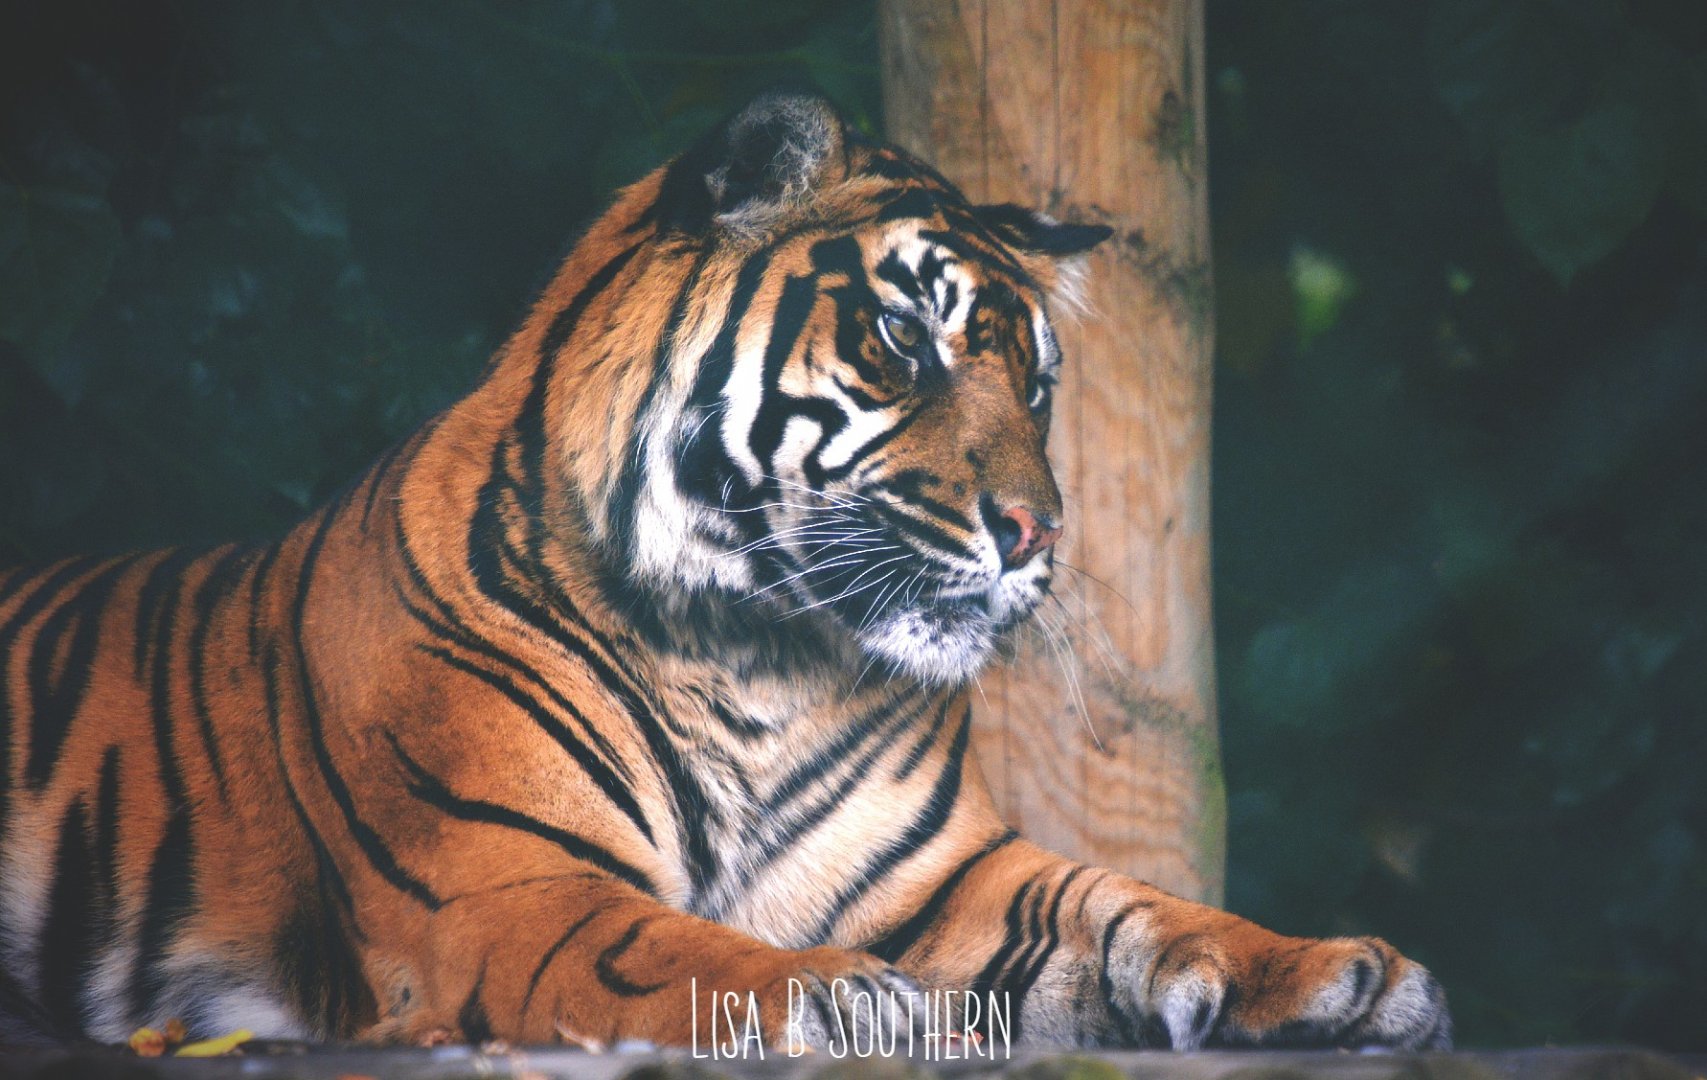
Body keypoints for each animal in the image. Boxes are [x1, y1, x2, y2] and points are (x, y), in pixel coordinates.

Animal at [0, 92, 1450, 1052]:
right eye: (904, 339)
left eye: (1034, 385)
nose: (1037, 535)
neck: (764, 656)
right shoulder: (497, 885)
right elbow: (658, 942)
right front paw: (831, 994)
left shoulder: (945, 881)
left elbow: (1131, 904)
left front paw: (1340, 978)